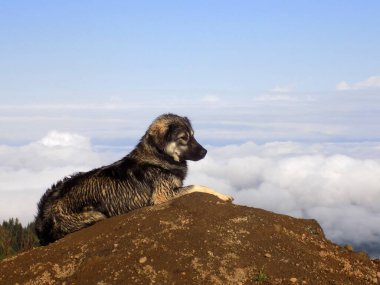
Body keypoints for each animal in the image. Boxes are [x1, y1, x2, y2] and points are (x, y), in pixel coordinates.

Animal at [35, 113, 232, 244]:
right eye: (183, 138)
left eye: (193, 135)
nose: (205, 152)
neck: (158, 157)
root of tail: (45, 213)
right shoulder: (162, 196)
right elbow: (199, 186)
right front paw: (223, 195)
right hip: (95, 214)